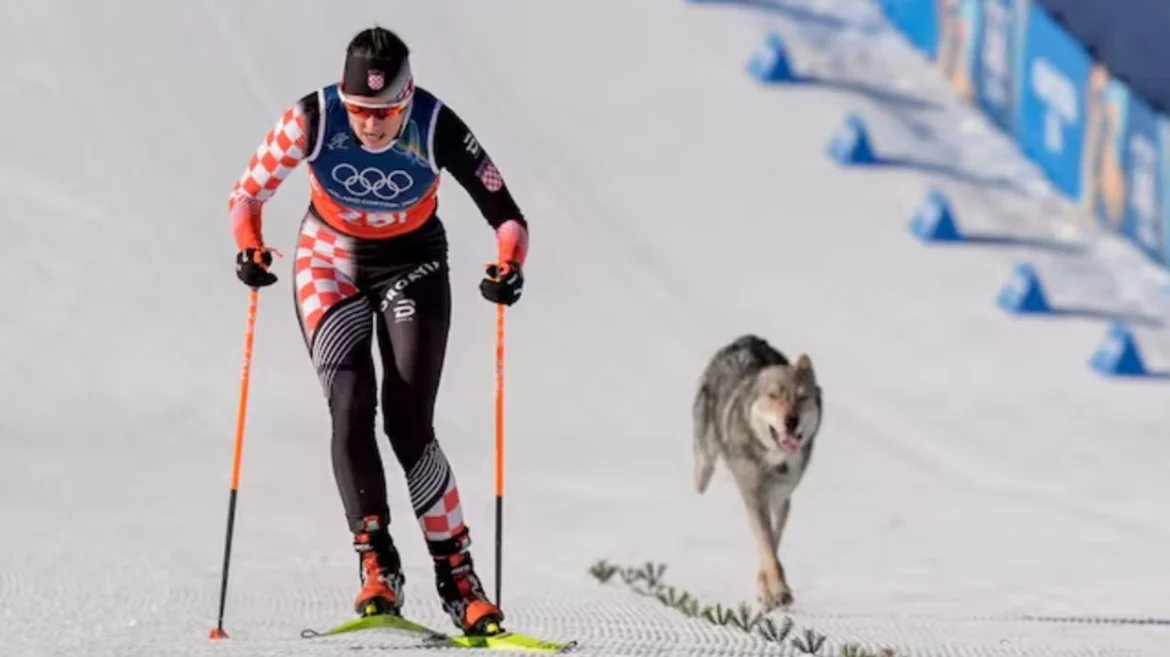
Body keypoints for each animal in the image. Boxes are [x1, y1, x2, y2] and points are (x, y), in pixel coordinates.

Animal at [692, 334, 823, 611]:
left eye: (801, 397)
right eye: (773, 396)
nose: (791, 421)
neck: (774, 461)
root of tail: (748, 339)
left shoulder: (780, 500)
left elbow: (771, 544)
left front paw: (768, 591)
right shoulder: (754, 497)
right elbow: (768, 549)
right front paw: (779, 591)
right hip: (705, 461)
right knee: (700, 477)